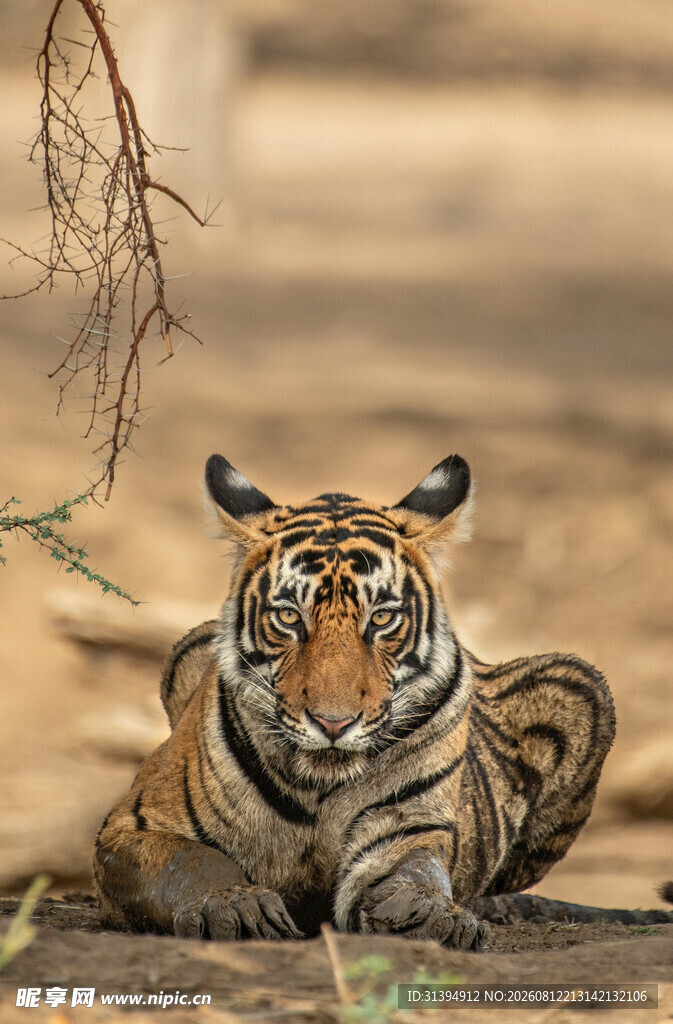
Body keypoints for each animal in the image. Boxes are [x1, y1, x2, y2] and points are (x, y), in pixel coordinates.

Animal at [93, 454, 671, 950]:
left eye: (382, 618)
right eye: (289, 617)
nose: (333, 722)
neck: (319, 785)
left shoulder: (407, 828)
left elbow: (417, 870)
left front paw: (428, 913)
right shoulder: (131, 827)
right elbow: (190, 861)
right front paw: (236, 906)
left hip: (582, 683)